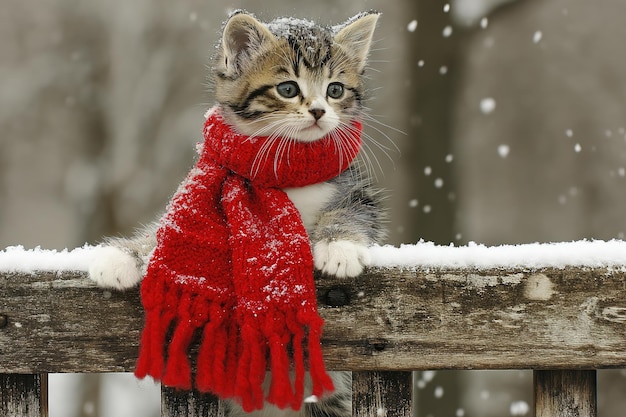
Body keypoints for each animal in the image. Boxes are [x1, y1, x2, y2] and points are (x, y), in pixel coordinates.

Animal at [89, 10, 382, 416]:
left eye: (335, 90)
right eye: (287, 88)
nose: (319, 111)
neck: (284, 166)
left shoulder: (356, 189)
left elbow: (353, 211)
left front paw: (339, 247)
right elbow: (164, 230)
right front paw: (122, 255)